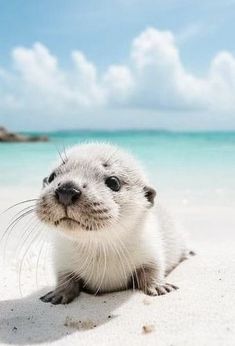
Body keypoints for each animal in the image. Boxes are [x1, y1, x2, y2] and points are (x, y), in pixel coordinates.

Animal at [35, 143, 188, 306]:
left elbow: (152, 270)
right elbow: (65, 279)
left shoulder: (151, 251)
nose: (67, 189)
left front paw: (159, 286)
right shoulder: (62, 262)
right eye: (52, 176)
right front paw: (58, 293)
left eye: (114, 182)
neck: (101, 257)